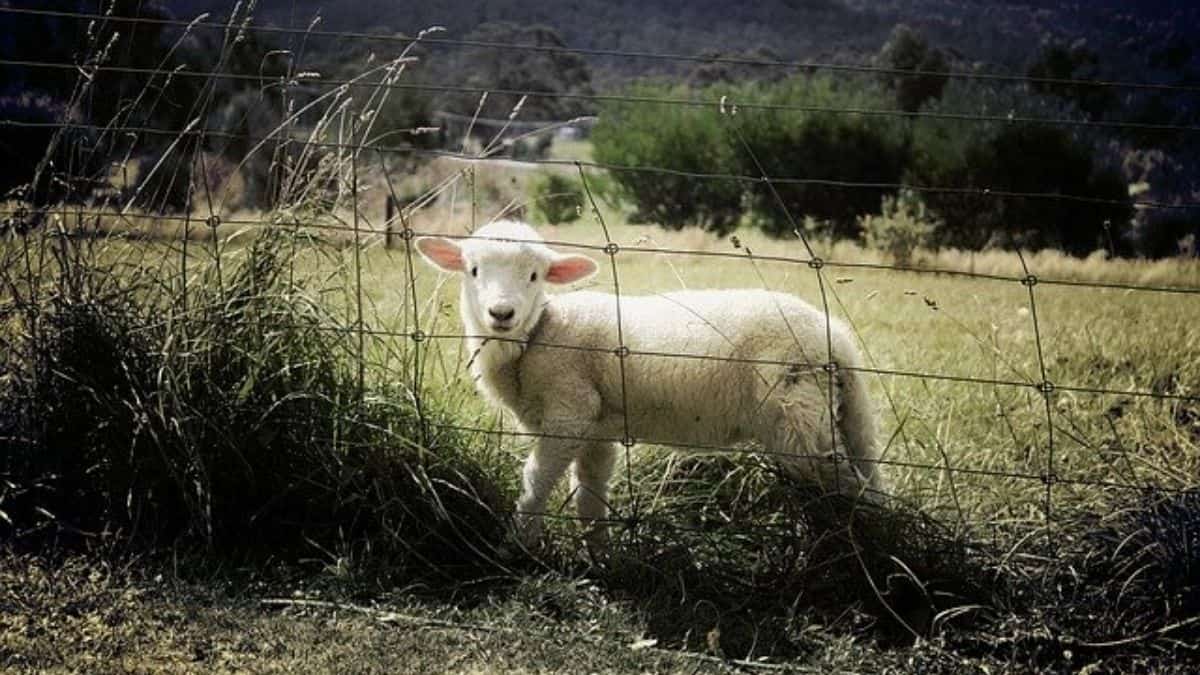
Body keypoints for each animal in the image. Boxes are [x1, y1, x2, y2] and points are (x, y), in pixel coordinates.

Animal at [412, 220, 883, 547]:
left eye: (534, 276)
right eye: (473, 270)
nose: (501, 314)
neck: (539, 334)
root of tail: (834, 338)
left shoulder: (569, 411)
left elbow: (535, 481)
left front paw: (518, 544)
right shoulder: (597, 430)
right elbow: (589, 496)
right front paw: (598, 557)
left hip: (797, 421)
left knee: (850, 488)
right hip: (837, 416)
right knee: (867, 478)